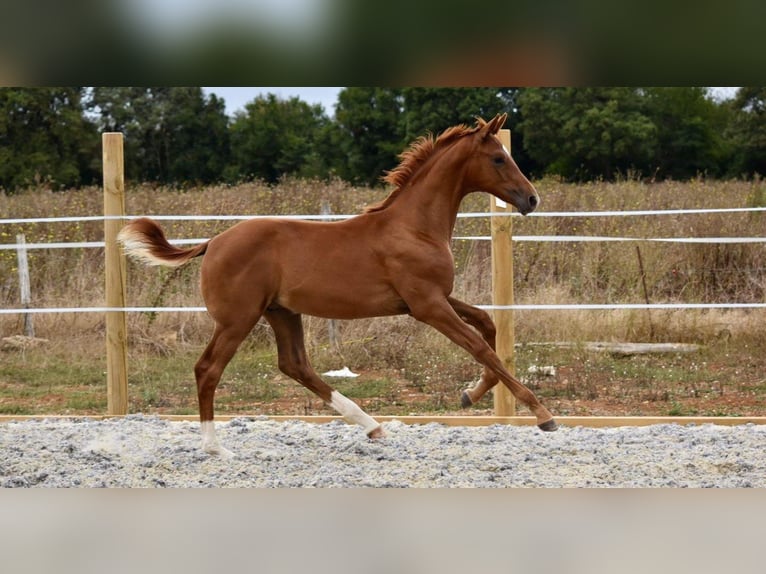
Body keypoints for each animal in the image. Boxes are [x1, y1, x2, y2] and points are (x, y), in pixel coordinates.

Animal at [121, 115, 564, 460]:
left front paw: (470, 394)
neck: (414, 227)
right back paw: (215, 447)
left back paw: (372, 426)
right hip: (237, 319)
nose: (532, 198)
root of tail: (212, 242)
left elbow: (488, 326)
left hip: (281, 312)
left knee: (295, 365)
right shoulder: (427, 305)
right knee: (208, 369)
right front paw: (543, 414)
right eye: (498, 158)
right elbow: (480, 346)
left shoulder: (434, 298)